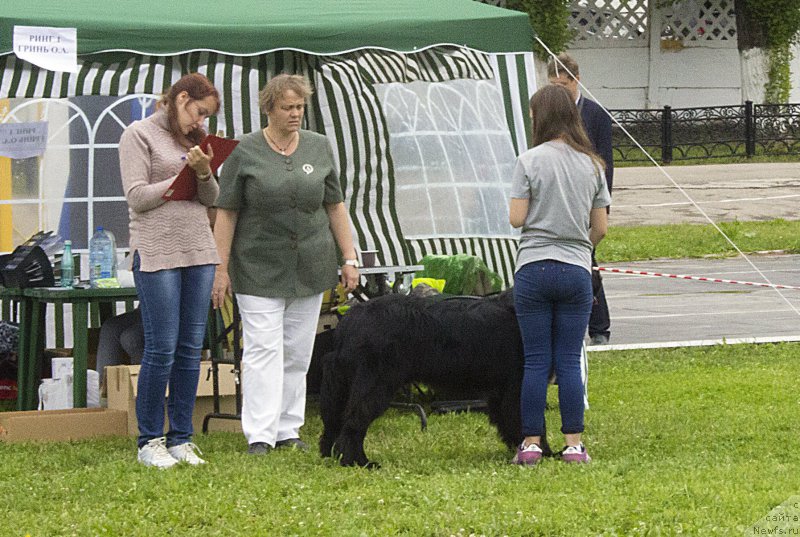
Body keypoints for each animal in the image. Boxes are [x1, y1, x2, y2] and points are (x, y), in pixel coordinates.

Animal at [318, 288, 552, 464]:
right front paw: (544, 453)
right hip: (376, 383)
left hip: (342, 385)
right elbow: (532, 422)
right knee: (353, 422)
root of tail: (349, 320)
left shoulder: (500, 392)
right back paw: (359, 462)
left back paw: (330, 455)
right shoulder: (519, 383)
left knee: (335, 423)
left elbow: (509, 422)